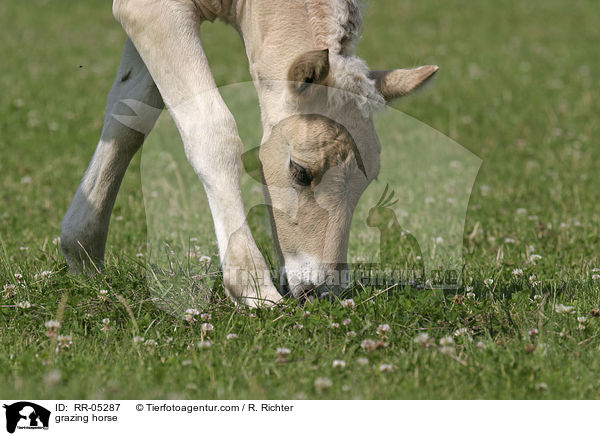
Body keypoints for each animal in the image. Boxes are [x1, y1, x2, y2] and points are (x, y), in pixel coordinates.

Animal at [61, 0, 438, 306]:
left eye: (368, 179)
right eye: (300, 172)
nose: (321, 292)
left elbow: (130, 114)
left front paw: (82, 252)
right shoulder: (150, 10)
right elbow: (213, 131)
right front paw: (253, 287)